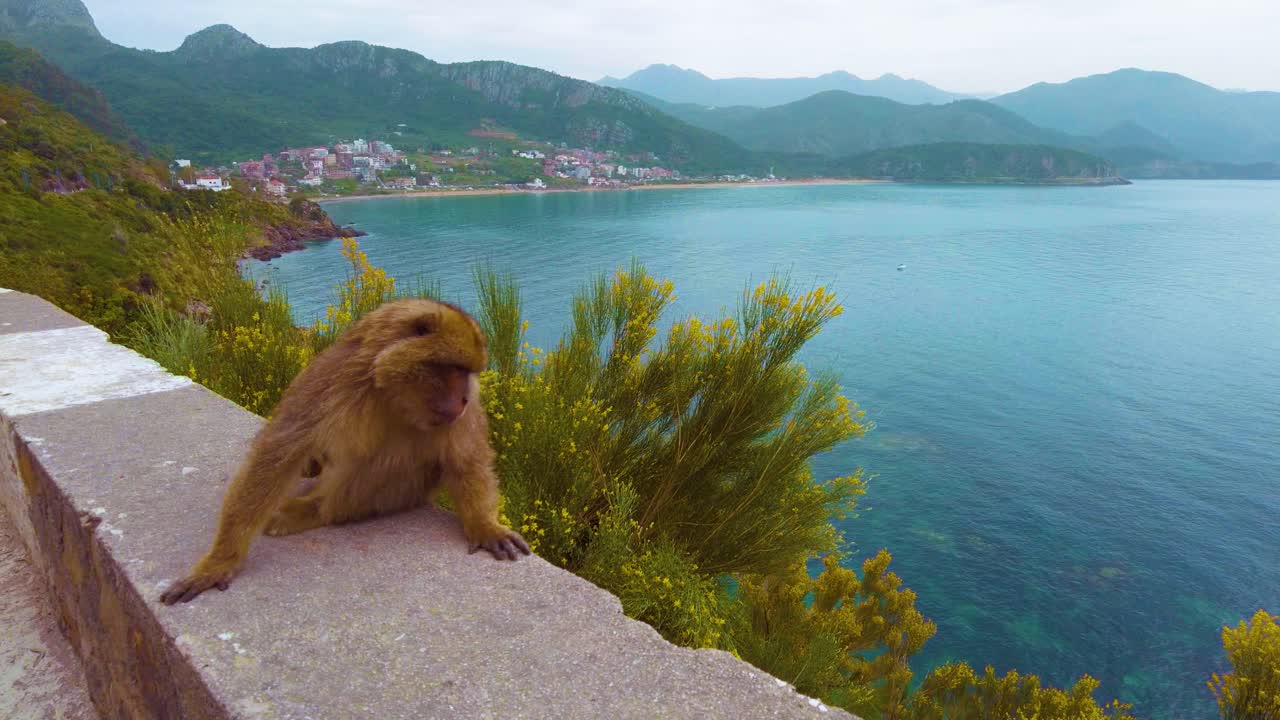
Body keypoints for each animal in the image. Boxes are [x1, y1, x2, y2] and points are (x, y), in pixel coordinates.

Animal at [160, 298, 530, 605]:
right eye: (455, 369)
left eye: (468, 373)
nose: (465, 398)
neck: (387, 389)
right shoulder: (331, 380)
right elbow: (278, 453)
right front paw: (220, 562)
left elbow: (466, 458)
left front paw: (484, 525)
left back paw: (317, 511)